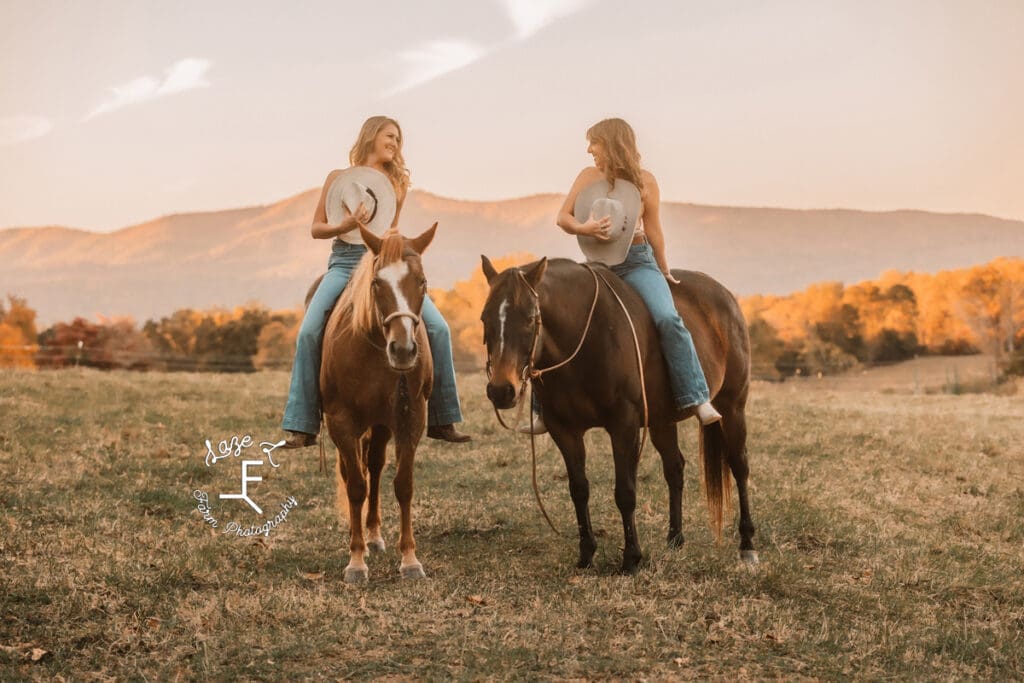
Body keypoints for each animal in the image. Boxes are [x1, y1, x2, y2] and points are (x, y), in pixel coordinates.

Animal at [317, 223, 434, 581]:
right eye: (376, 283)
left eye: (422, 281)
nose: (404, 350)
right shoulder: (341, 422)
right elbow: (356, 486)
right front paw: (356, 561)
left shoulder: (410, 418)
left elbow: (403, 484)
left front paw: (409, 559)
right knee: (354, 474)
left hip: (381, 425)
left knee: (376, 467)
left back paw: (373, 535)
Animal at [481, 259, 761, 573]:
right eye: (484, 318)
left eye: (530, 318)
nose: (501, 390)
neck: (584, 337)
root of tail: (726, 297)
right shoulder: (564, 430)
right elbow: (578, 489)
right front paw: (586, 554)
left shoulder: (623, 424)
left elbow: (625, 492)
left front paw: (631, 558)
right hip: (662, 421)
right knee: (675, 468)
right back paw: (675, 539)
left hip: (732, 407)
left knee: (739, 466)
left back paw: (747, 545)